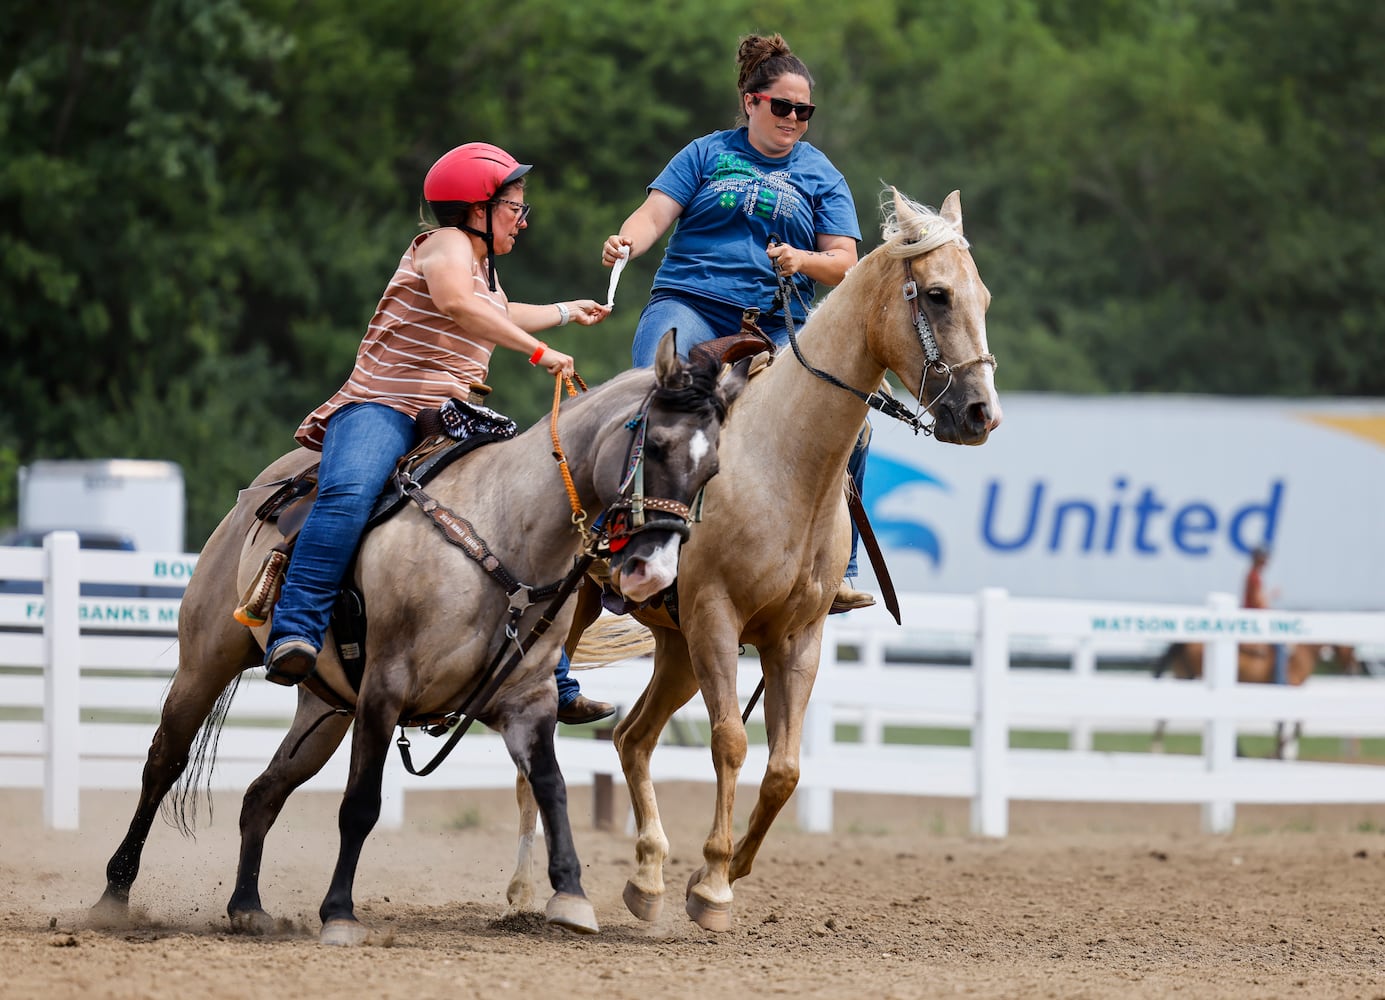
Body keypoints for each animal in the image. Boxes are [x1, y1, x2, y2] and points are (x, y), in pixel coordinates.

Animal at [90, 332, 742, 941]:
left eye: (713, 470)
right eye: (655, 445)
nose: (653, 571)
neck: (505, 532)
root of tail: (256, 494)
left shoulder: (526, 699)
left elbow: (552, 787)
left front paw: (572, 897)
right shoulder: (385, 688)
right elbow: (361, 805)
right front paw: (339, 914)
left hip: (324, 713)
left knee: (262, 793)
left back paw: (247, 907)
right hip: (205, 662)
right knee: (163, 762)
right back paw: (112, 896)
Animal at [523, 188, 1002, 925]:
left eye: (983, 296)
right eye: (938, 295)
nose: (981, 413)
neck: (781, 462)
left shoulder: (793, 637)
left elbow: (784, 769)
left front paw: (720, 870)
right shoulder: (718, 618)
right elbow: (730, 742)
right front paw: (713, 886)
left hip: (677, 648)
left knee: (633, 737)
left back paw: (648, 877)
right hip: (587, 616)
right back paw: (529, 889)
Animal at [1152, 639, 1357, 753]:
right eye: (1353, 648)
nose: (1353, 668)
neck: (1301, 654)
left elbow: (1284, 725)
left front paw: (1280, 751)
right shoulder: (1291, 688)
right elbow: (1296, 725)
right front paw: (1279, 751)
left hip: (1184, 675)